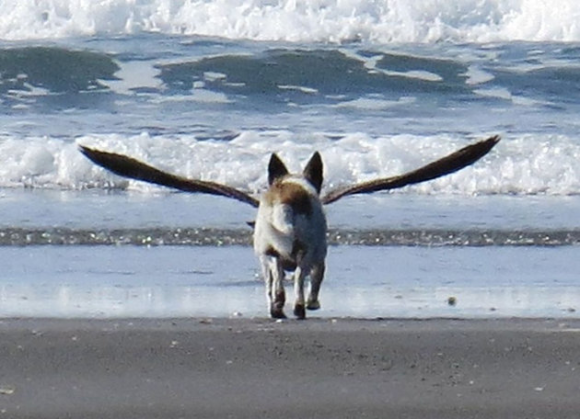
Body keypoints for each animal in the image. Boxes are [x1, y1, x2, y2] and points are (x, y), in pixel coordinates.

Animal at [79, 136, 500, 320]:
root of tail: (288, 198)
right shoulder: (317, 258)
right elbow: (311, 282)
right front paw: (311, 303)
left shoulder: (276, 257)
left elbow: (279, 281)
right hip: (305, 251)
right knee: (295, 283)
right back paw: (298, 307)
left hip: (276, 252)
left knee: (282, 283)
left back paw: (283, 307)